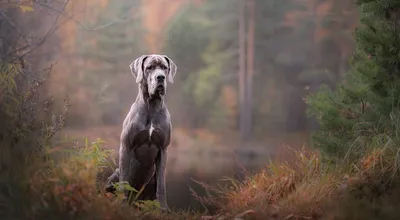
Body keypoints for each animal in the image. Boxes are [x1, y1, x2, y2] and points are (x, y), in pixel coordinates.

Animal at [104, 53, 177, 211]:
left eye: (164, 67)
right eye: (149, 67)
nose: (160, 77)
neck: (152, 105)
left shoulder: (163, 149)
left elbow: (161, 185)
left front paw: (164, 208)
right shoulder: (126, 147)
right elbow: (124, 181)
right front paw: (120, 203)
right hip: (114, 174)